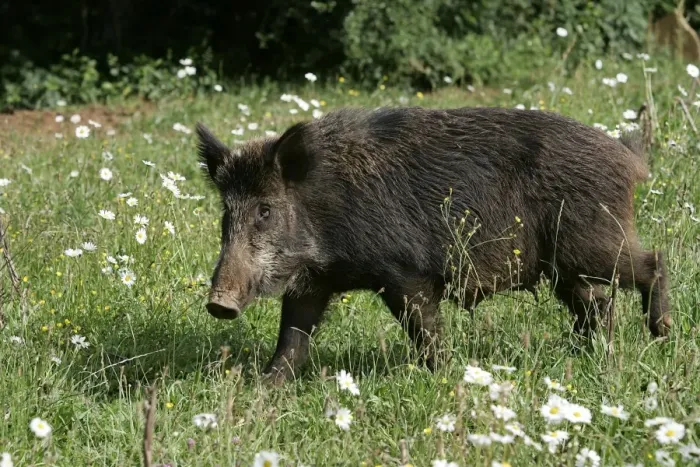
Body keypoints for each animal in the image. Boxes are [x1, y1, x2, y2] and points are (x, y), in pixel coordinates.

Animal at [195, 106, 671, 384]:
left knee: (653, 262)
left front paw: (444, 377)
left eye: (265, 210)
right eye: (226, 212)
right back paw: (586, 355)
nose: (219, 303)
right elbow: (292, 339)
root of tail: (628, 157)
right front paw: (264, 390)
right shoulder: (312, 282)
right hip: (564, 268)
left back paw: (661, 333)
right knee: (598, 303)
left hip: (592, 242)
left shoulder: (405, 272)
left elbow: (423, 329)